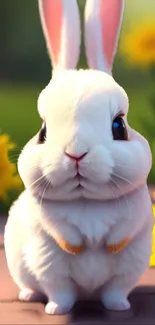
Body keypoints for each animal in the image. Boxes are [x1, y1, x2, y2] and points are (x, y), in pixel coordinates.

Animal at [4, 0, 153, 316]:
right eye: (43, 132)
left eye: (119, 126)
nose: (76, 153)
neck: (86, 201)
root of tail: (88, 295)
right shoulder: (45, 216)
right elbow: (59, 230)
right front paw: (76, 246)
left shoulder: (137, 208)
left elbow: (125, 229)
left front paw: (110, 245)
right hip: (45, 267)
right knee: (59, 291)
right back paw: (50, 306)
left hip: (127, 271)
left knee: (114, 289)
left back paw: (118, 306)